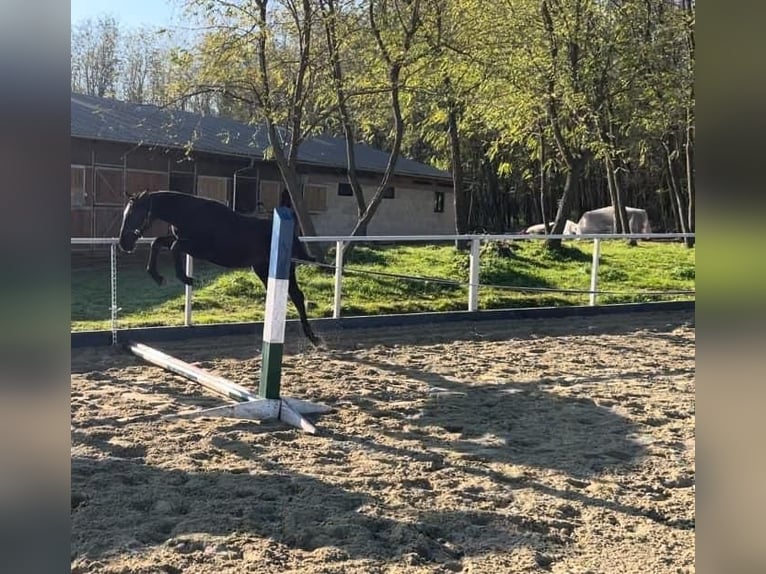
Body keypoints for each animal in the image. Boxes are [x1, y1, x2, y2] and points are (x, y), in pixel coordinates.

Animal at [115, 191, 320, 348]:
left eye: (134, 214)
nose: (124, 244)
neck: (188, 214)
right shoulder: (183, 241)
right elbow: (158, 242)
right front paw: (157, 276)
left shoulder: (202, 249)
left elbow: (174, 247)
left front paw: (186, 278)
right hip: (262, 269)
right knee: (286, 294)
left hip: (283, 269)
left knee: (297, 296)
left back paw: (313, 337)